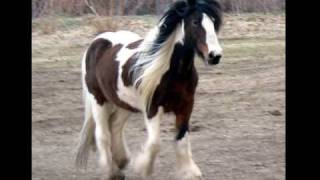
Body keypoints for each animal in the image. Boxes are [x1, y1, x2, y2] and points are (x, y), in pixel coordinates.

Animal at [76, 0, 224, 179]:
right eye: (195, 22)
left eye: (214, 22)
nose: (215, 55)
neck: (174, 72)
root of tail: (97, 42)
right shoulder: (152, 108)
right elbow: (154, 143)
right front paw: (143, 169)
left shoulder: (186, 106)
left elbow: (182, 140)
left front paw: (189, 172)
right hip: (98, 100)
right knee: (102, 134)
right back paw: (110, 171)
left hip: (124, 103)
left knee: (115, 126)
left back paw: (120, 162)